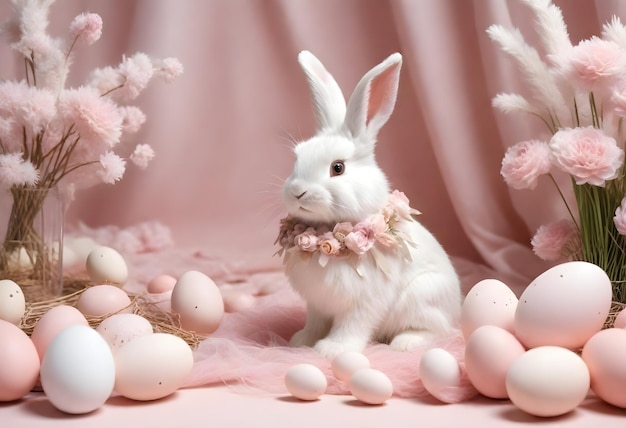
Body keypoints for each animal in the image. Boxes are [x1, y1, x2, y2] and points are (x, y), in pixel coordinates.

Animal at [276, 50, 460, 360]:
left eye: (337, 168)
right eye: (296, 159)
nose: (297, 192)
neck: (329, 234)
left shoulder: (364, 302)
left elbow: (353, 325)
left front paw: (332, 349)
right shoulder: (317, 303)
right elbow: (314, 322)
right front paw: (301, 341)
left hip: (420, 298)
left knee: (434, 331)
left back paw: (404, 343)